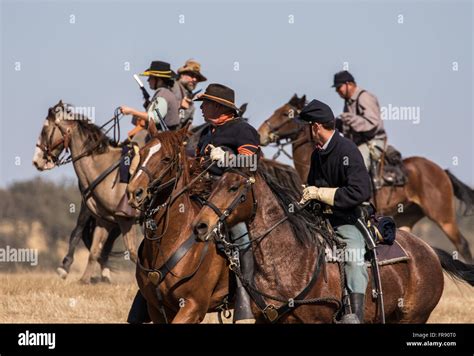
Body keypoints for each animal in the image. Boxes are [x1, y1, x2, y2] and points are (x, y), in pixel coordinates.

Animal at [33, 101, 139, 284]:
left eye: (45, 130)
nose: (36, 161)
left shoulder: (124, 219)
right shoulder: (105, 219)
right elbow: (94, 249)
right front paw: (84, 278)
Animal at [190, 164, 474, 322]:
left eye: (234, 187)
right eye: (215, 184)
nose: (200, 225)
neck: (290, 260)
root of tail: (430, 251)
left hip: (414, 317)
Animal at [258, 94, 474, 262]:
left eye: (286, 113)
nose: (261, 133)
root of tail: (441, 171)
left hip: (443, 217)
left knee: (462, 244)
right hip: (407, 217)